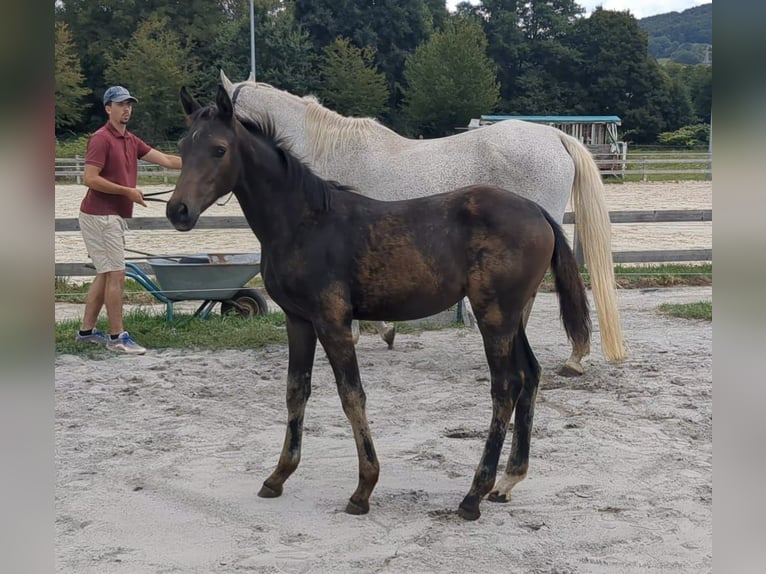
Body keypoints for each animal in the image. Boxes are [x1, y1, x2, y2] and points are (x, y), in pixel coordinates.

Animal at [166, 85, 592, 521]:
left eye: (219, 149)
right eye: (183, 146)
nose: (177, 210)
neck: (304, 222)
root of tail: (537, 211)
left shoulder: (332, 320)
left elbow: (351, 395)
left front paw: (364, 488)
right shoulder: (298, 320)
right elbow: (295, 391)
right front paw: (278, 476)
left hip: (494, 315)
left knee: (506, 387)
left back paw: (474, 494)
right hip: (510, 317)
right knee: (531, 375)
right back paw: (507, 481)